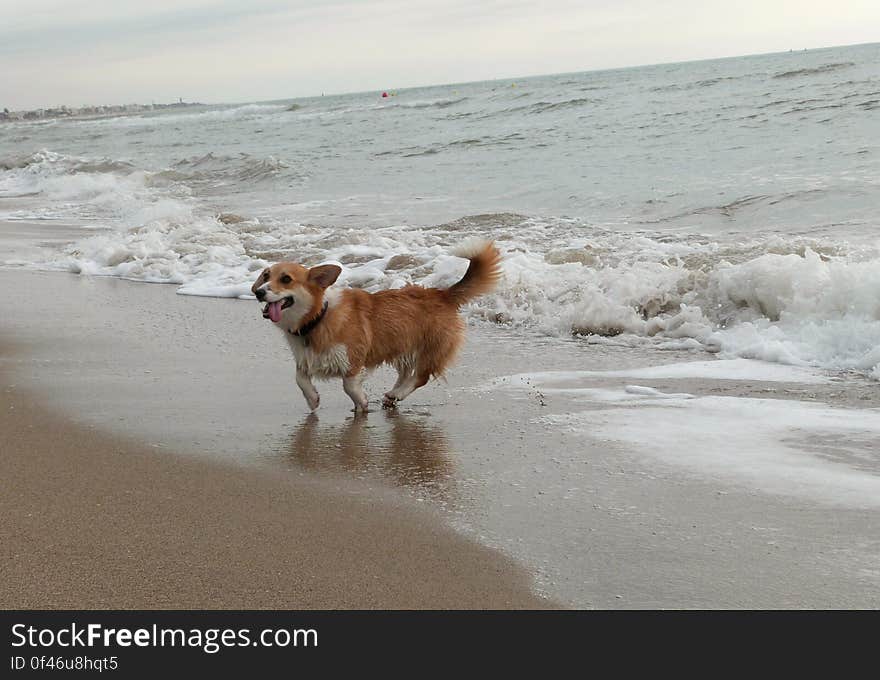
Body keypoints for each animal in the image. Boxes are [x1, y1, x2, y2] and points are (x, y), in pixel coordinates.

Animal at [253, 242, 502, 412]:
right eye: (266, 276)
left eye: (286, 279)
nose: (259, 292)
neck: (317, 318)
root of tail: (443, 294)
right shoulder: (305, 360)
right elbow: (300, 379)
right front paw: (313, 399)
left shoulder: (353, 361)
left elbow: (349, 386)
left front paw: (361, 403)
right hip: (402, 346)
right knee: (406, 373)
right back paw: (393, 394)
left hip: (431, 349)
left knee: (421, 376)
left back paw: (398, 394)